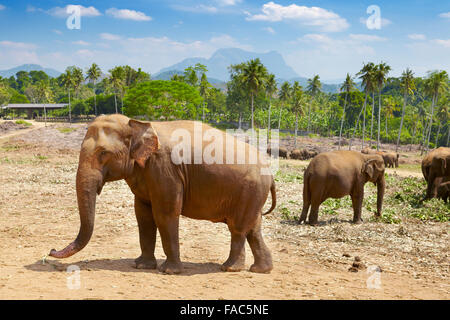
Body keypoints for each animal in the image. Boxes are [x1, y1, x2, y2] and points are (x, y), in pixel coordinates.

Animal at [48, 115, 274, 276]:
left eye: (103, 153)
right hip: (252, 196)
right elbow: (143, 215)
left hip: (249, 191)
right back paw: (260, 270)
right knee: (253, 229)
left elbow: (165, 214)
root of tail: (271, 174)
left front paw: (169, 271)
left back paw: (229, 268)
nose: (51, 251)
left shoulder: (165, 169)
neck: (136, 124)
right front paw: (140, 266)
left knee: (238, 229)